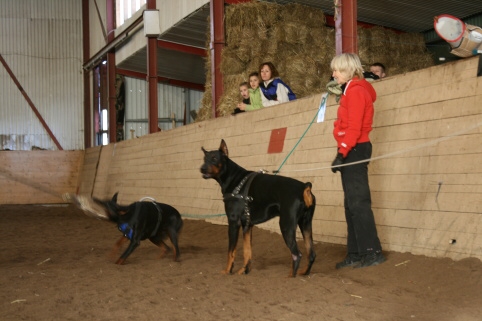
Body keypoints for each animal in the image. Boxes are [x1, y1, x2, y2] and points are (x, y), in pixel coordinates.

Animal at [200, 139, 316, 276]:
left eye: (214, 158)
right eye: (204, 159)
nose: (202, 168)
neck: (233, 178)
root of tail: (304, 187)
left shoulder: (233, 222)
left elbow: (231, 251)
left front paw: (227, 271)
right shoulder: (247, 225)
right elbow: (247, 251)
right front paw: (244, 270)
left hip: (286, 225)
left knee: (297, 255)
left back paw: (290, 277)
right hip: (305, 223)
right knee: (311, 254)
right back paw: (303, 272)